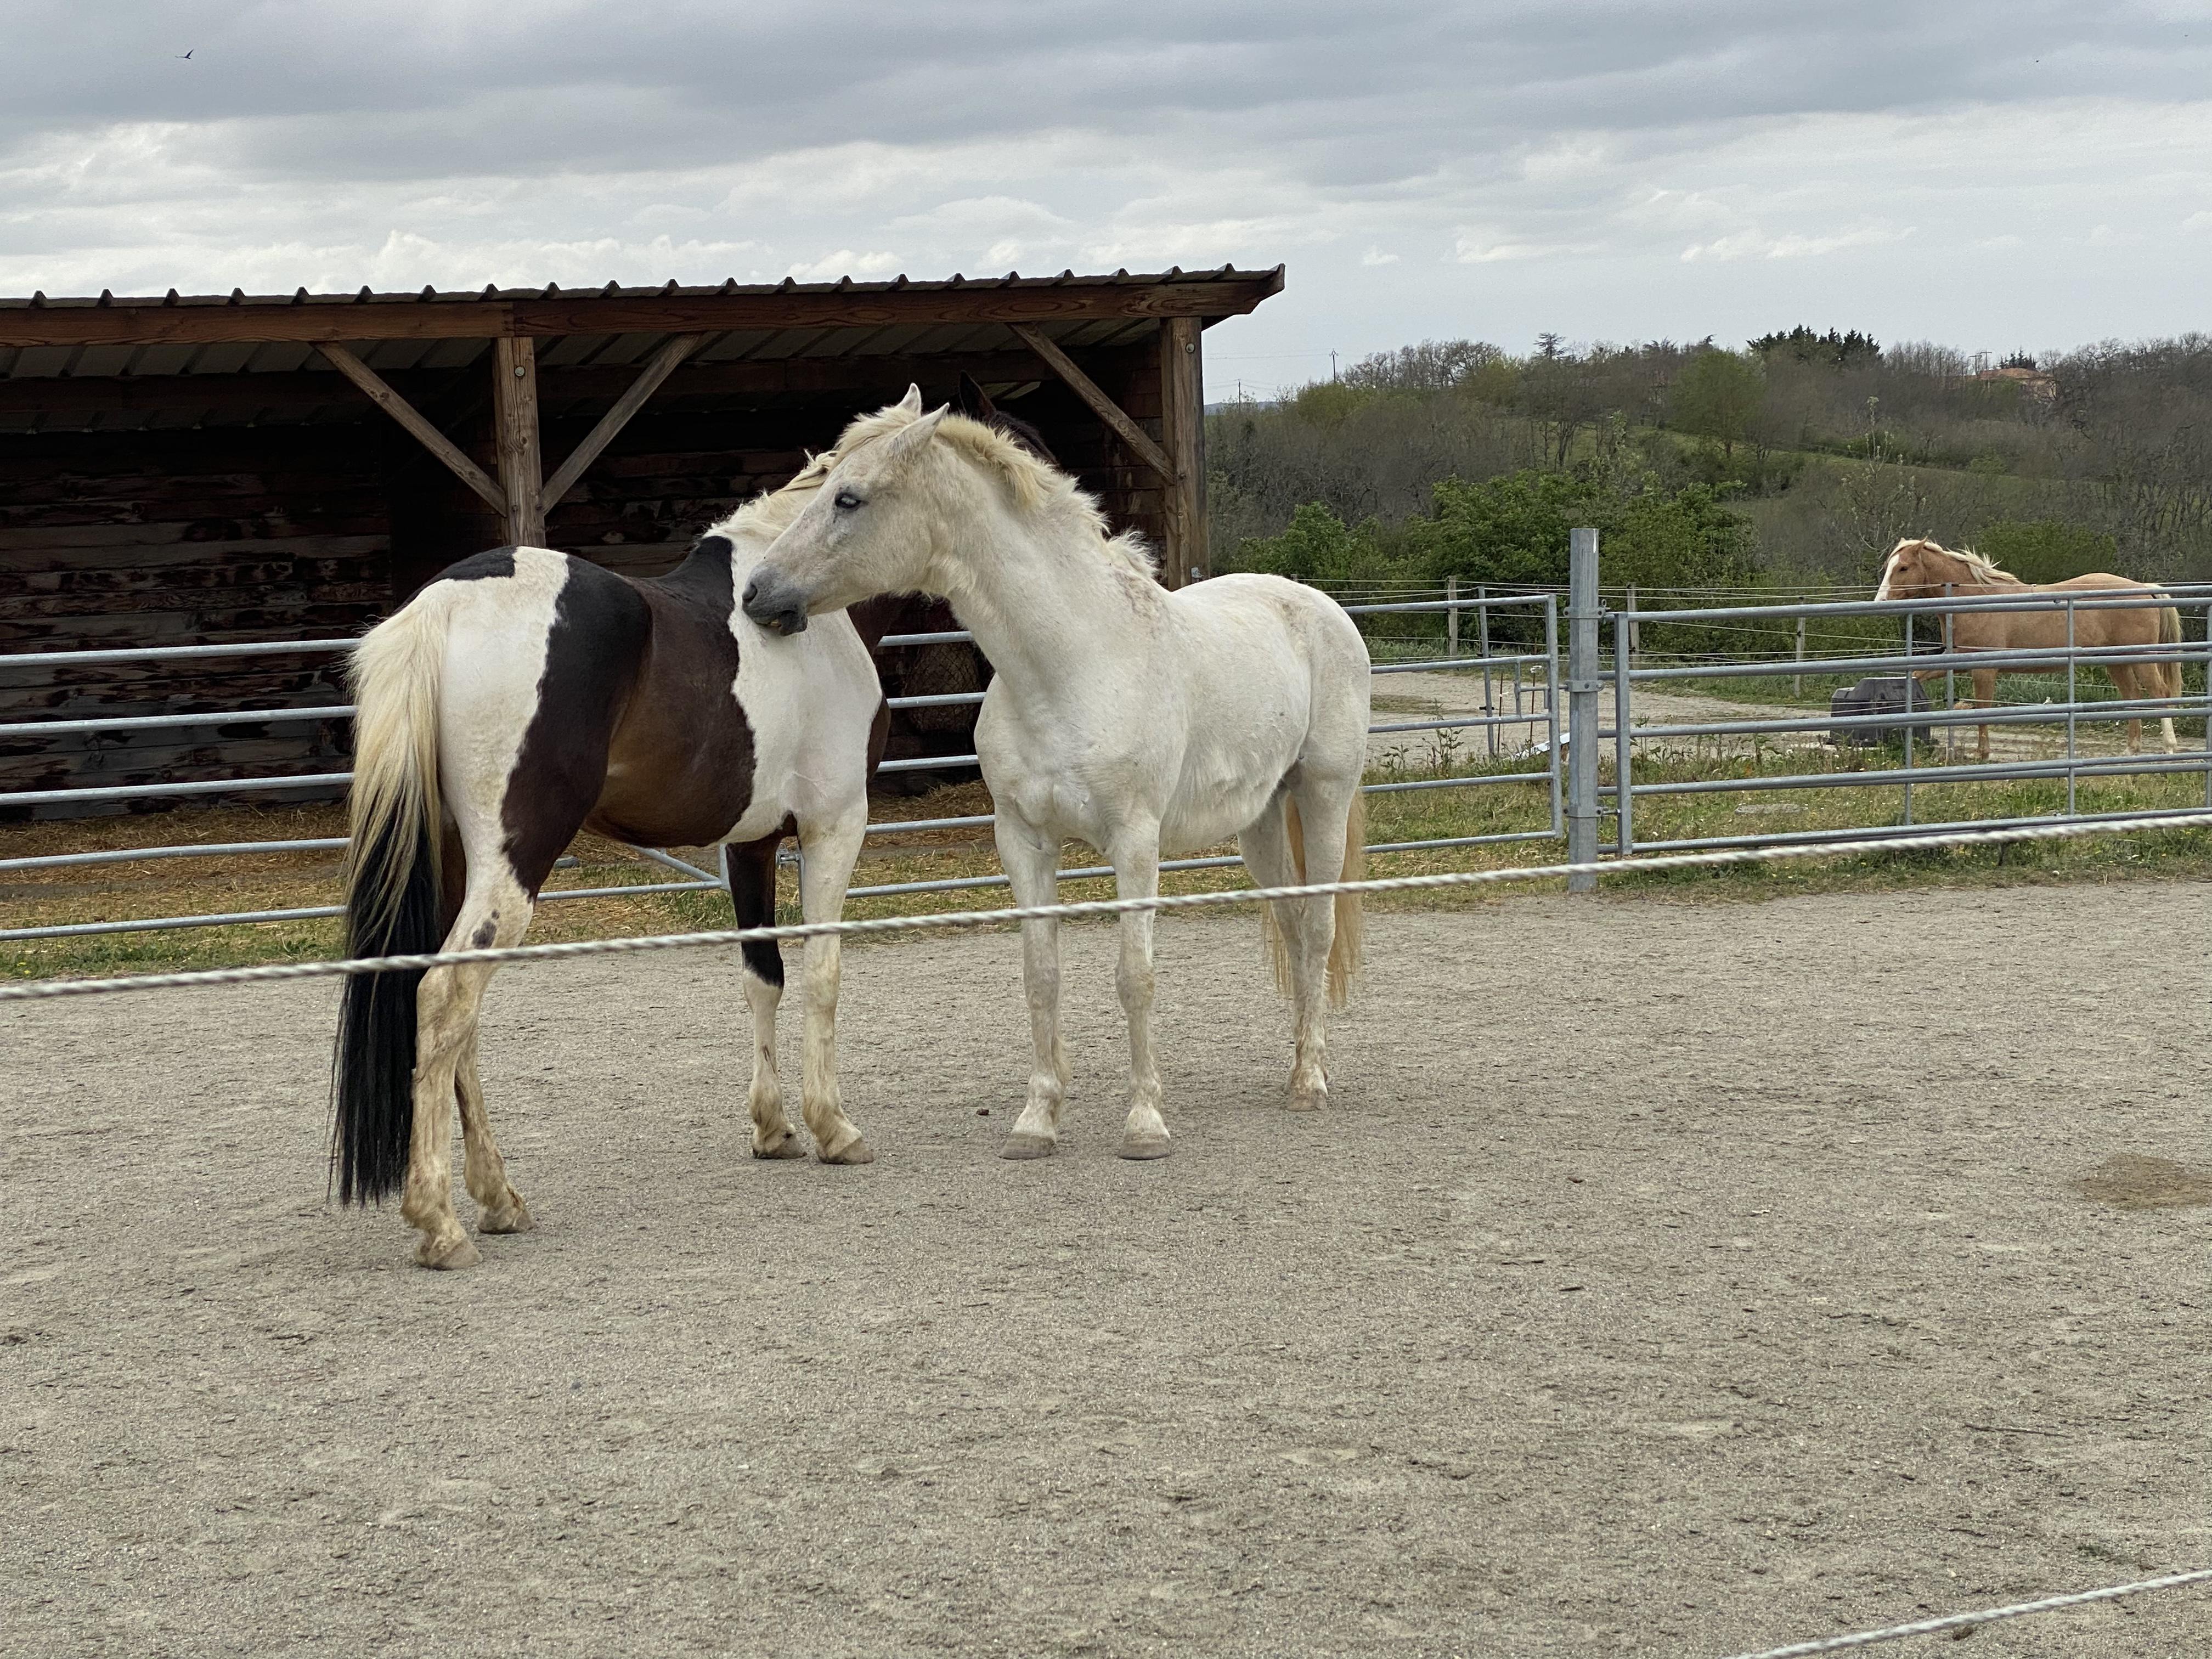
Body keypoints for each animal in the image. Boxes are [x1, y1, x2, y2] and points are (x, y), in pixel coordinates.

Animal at [325, 444, 880, 1274]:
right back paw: (441, 1224)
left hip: (457, 868)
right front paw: (832, 1129)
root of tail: (446, 603)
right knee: (448, 997)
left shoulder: (749, 843)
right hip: (513, 867)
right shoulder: (832, 827)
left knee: (454, 1019)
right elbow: (822, 974)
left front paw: (773, 1128)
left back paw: (499, 1200)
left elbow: (764, 978)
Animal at [743, 391, 1362, 1167]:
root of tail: (1319, 605)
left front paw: (1145, 1125)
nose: (756, 593)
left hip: (1323, 796)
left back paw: (1310, 1081)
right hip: (1260, 822)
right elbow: (1042, 977)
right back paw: (1296, 1064)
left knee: (1317, 929)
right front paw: (1037, 1122)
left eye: (848, 497)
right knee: (1290, 922)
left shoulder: (1136, 843)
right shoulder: (1024, 841)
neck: (1073, 663)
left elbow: (1135, 977)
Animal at [1876, 539, 2185, 761]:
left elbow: (1982, 709)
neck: (1976, 600)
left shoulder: (1984, 670)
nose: (1880, 603)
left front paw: (1983, 754)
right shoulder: (1956, 660)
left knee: (2160, 694)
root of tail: (2144, 588)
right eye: (1889, 566)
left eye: (1904, 568)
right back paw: (2131, 750)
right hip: (2117, 661)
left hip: (2141, 658)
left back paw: (2169, 748)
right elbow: (1916, 676)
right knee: (2132, 696)